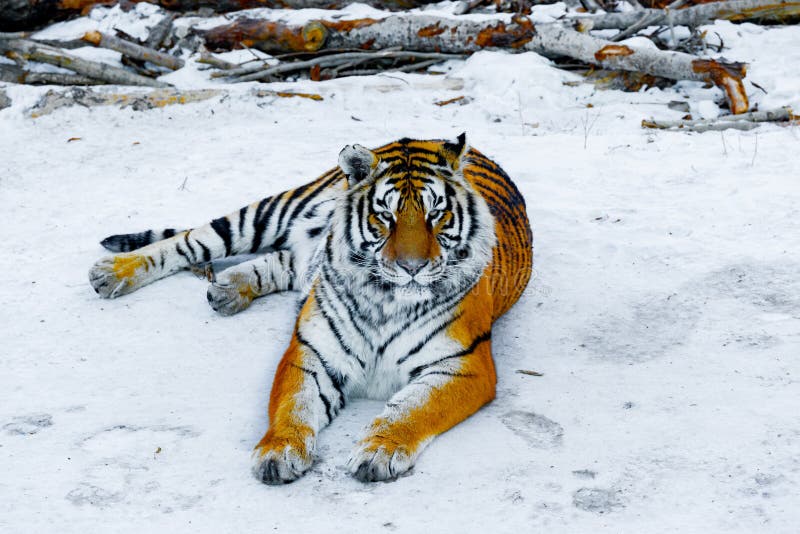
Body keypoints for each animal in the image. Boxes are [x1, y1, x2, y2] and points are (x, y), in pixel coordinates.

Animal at [89, 134, 533, 483]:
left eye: (436, 214)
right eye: (385, 215)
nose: (412, 267)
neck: (385, 298)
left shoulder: (463, 365)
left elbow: (410, 411)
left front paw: (379, 451)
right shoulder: (311, 352)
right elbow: (295, 404)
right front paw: (279, 452)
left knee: (283, 260)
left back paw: (229, 289)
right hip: (266, 214)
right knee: (188, 240)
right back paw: (112, 273)